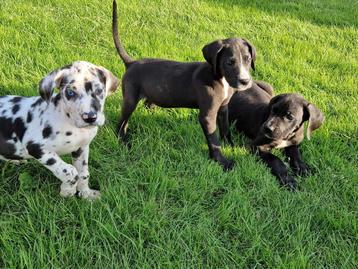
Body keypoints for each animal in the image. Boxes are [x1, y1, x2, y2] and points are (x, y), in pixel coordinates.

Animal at [0, 60, 120, 199]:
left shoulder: (82, 148)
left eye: (99, 90)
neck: (70, 122)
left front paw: (86, 194)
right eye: (70, 92)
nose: (89, 117)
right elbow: (70, 171)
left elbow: (83, 174)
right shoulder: (37, 148)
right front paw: (67, 190)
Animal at [112, 0, 258, 170]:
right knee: (121, 122)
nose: (245, 81)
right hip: (130, 99)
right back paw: (123, 141)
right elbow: (214, 141)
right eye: (229, 62)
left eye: (248, 59)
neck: (220, 78)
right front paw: (222, 162)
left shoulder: (223, 108)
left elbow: (225, 129)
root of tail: (131, 63)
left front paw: (231, 146)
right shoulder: (207, 115)